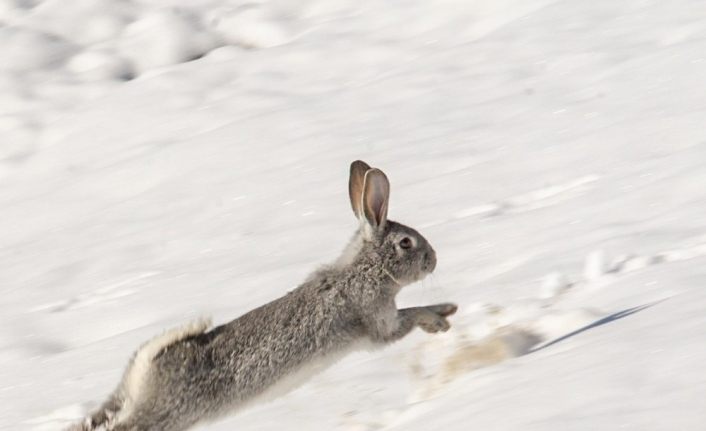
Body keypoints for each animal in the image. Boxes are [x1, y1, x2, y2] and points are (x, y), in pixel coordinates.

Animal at [70, 160, 456, 431]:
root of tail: (142, 369)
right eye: (405, 243)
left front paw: (448, 310)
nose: (434, 259)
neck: (366, 269)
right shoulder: (378, 323)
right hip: (170, 413)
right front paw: (439, 320)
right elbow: (412, 313)